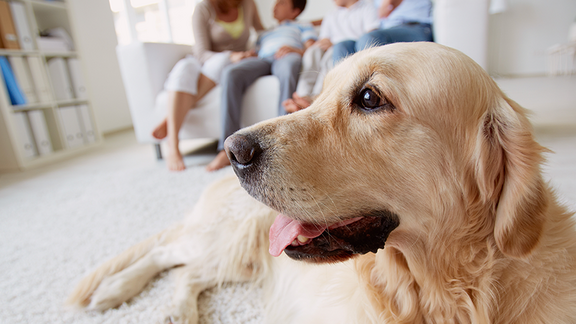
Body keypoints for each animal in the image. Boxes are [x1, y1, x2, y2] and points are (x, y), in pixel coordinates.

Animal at [66, 42, 576, 322]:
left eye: (369, 97)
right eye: (319, 94)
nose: (231, 150)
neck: (437, 290)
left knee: (186, 270)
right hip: (233, 238)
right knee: (169, 254)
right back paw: (118, 290)